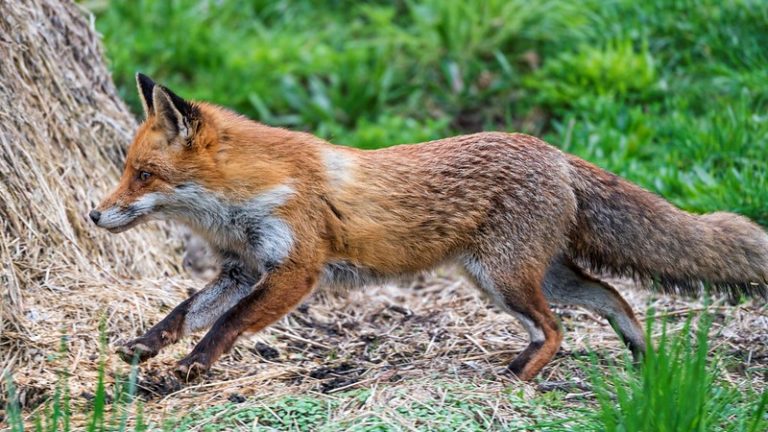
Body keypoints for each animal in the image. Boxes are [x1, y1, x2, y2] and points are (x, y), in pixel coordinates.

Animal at [91, 73, 768, 381]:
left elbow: (226, 325)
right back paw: (640, 353)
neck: (246, 200)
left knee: (557, 329)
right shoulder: (242, 268)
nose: (95, 214)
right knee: (610, 297)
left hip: (503, 279)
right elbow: (185, 310)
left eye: (144, 175)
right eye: (127, 171)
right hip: (525, 276)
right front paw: (146, 347)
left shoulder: (296, 268)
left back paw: (516, 378)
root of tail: (553, 152)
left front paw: (191, 368)